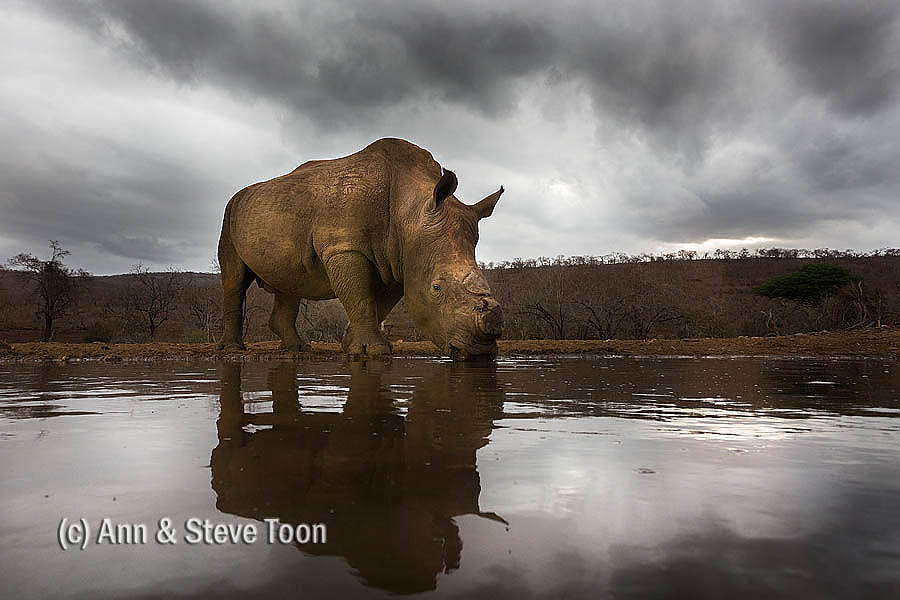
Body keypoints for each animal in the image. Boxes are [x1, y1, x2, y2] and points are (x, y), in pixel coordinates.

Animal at [217, 138, 504, 359]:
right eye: (436, 288)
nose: (480, 353)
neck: (409, 213)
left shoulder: (398, 261)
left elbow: (379, 304)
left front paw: (352, 344)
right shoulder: (345, 247)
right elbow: (360, 296)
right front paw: (372, 352)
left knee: (289, 280)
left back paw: (298, 349)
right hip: (230, 211)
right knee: (234, 279)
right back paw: (233, 350)